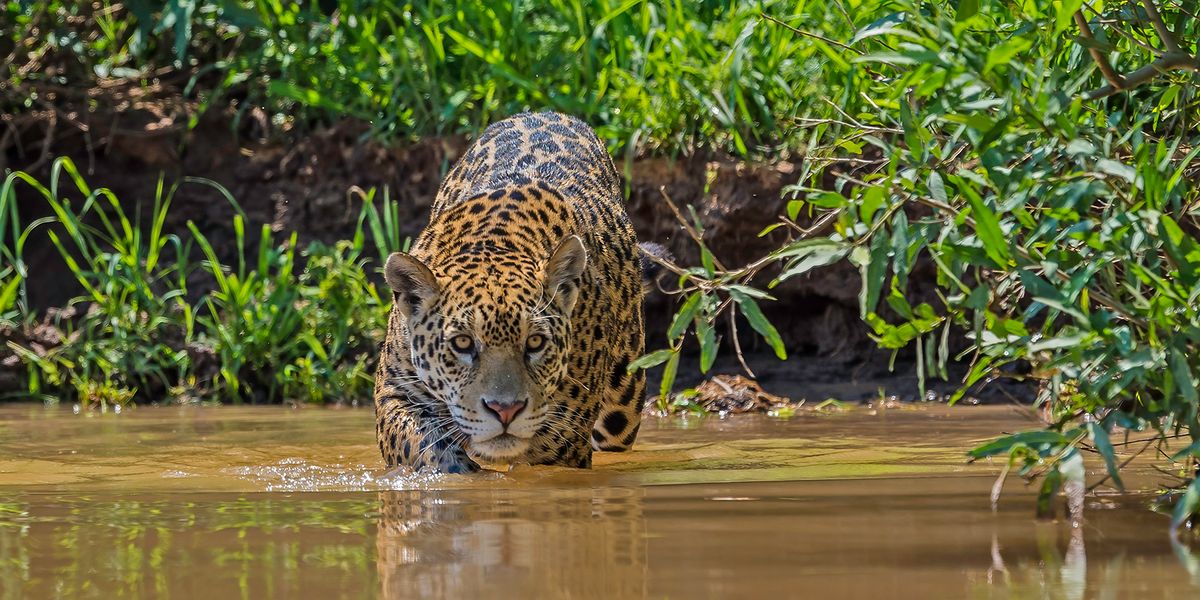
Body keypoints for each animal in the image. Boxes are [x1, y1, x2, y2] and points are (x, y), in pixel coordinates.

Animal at [373, 111, 648, 473]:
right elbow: (422, 445)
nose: (505, 410)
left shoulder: (563, 438)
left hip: (623, 403)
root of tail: (545, 112)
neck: (494, 244)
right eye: (463, 343)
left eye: (536, 342)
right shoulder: (395, 391)